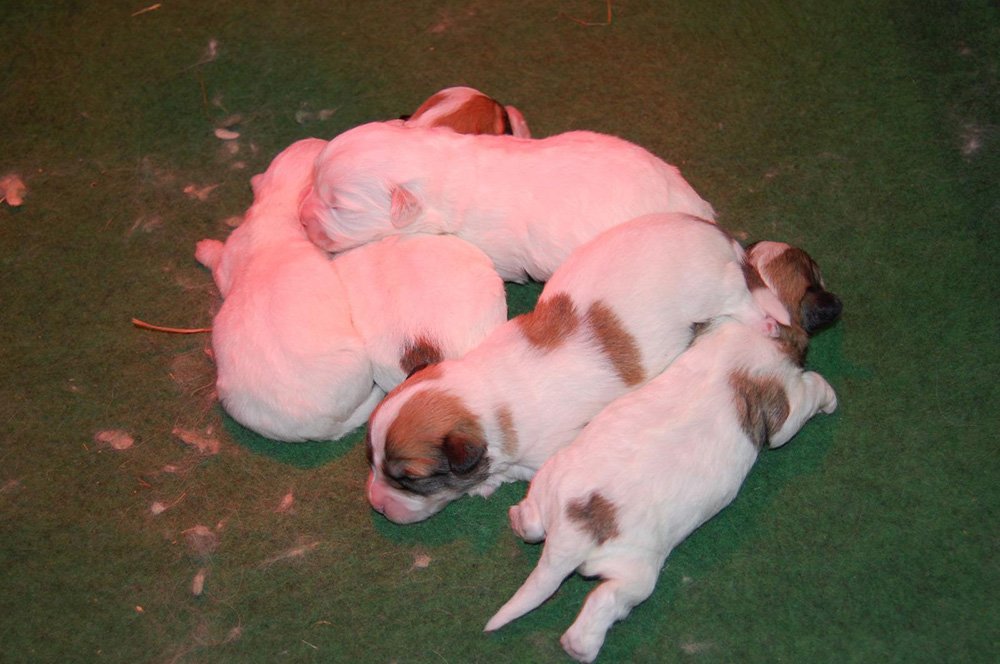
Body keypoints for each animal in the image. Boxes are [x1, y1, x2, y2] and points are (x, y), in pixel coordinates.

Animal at [364, 213, 792, 524]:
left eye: (410, 479)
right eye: (372, 461)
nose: (377, 505)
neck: (481, 395)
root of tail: (709, 228)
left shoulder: (548, 450)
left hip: (714, 289)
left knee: (742, 300)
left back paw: (766, 323)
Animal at [480, 244, 840, 664]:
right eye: (816, 271)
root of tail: (574, 529)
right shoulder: (786, 407)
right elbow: (807, 395)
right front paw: (828, 396)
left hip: (551, 479)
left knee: (533, 520)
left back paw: (520, 519)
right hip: (636, 574)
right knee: (605, 602)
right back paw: (580, 646)